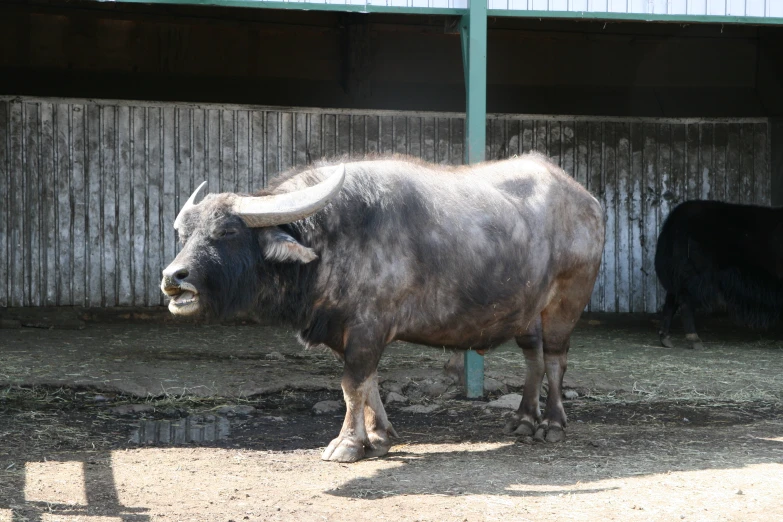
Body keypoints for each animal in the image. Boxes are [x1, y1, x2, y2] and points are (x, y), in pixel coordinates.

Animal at [159, 152, 608, 462]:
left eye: (227, 231)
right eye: (184, 232)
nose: (172, 277)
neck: (332, 239)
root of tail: (587, 200)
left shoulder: (366, 329)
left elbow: (352, 385)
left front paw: (347, 443)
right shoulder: (347, 332)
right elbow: (369, 383)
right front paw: (378, 437)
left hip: (565, 304)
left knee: (555, 360)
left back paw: (552, 424)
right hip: (527, 313)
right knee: (533, 358)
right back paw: (523, 419)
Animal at [656, 199, 783, 350]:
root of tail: (675, 218)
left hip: (680, 277)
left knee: (671, 300)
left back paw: (665, 338)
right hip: (693, 276)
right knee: (685, 302)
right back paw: (694, 339)